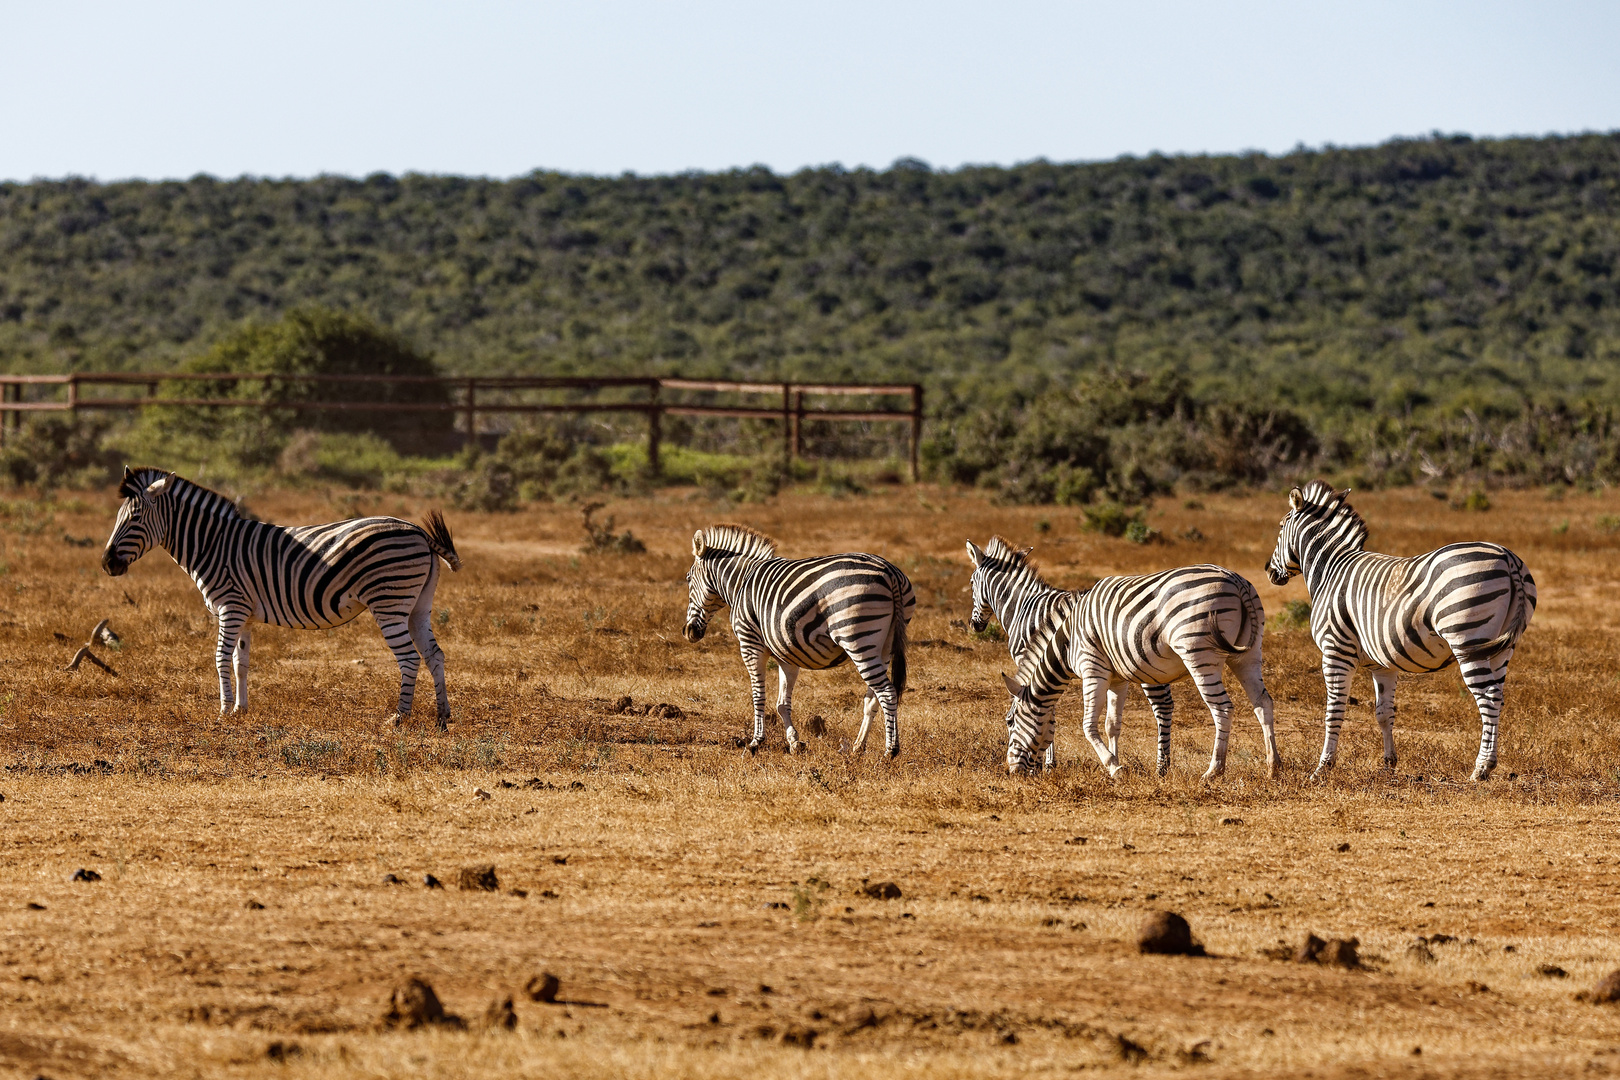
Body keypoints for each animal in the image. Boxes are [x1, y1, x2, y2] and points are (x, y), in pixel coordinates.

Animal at [102, 469, 463, 731]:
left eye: (134, 520)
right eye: (118, 518)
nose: (107, 564)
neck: (211, 544)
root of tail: (418, 531)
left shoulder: (230, 607)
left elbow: (220, 658)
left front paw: (223, 712)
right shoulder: (244, 615)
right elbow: (241, 662)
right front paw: (240, 709)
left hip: (389, 602)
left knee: (410, 658)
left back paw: (399, 717)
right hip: (417, 605)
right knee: (434, 655)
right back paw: (443, 716)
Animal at [680, 524, 920, 761]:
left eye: (688, 578)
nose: (688, 631)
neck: (741, 581)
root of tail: (889, 571)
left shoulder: (750, 643)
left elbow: (758, 696)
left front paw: (756, 742)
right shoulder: (786, 654)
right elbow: (782, 704)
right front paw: (795, 743)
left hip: (857, 638)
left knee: (887, 692)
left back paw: (890, 751)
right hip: (885, 646)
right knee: (872, 698)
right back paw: (858, 747)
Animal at [965, 537, 1172, 773]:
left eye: (971, 583)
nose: (975, 625)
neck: (1021, 607)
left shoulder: (1033, 661)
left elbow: (1045, 709)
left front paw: (1044, 764)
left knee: (1162, 707)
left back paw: (1161, 768)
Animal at [997, 563, 1276, 780]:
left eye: (1010, 721)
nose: (1011, 771)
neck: (1067, 642)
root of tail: (1236, 580)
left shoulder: (1092, 668)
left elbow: (1088, 724)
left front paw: (1114, 767)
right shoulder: (1117, 679)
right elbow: (1112, 724)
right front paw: (1114, 760)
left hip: (1199, 653)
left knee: (1222, 709)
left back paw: (1213, 771)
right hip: (1248, 654)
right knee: (1263, 703)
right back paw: (1274, 766)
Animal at [1257, 479, 1535, 777]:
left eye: (1280, 527)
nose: (1268, 571)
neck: (1331, 569)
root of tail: (1507, 557)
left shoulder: (1335, 650)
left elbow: (1334, 710)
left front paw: (1323, 767)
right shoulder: (1382, 663)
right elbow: (1383, 712)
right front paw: (1389, 764)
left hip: (1468, 640)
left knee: (1489, 697)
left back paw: (1482, 768)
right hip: (1501, 648)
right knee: (1499, 697)